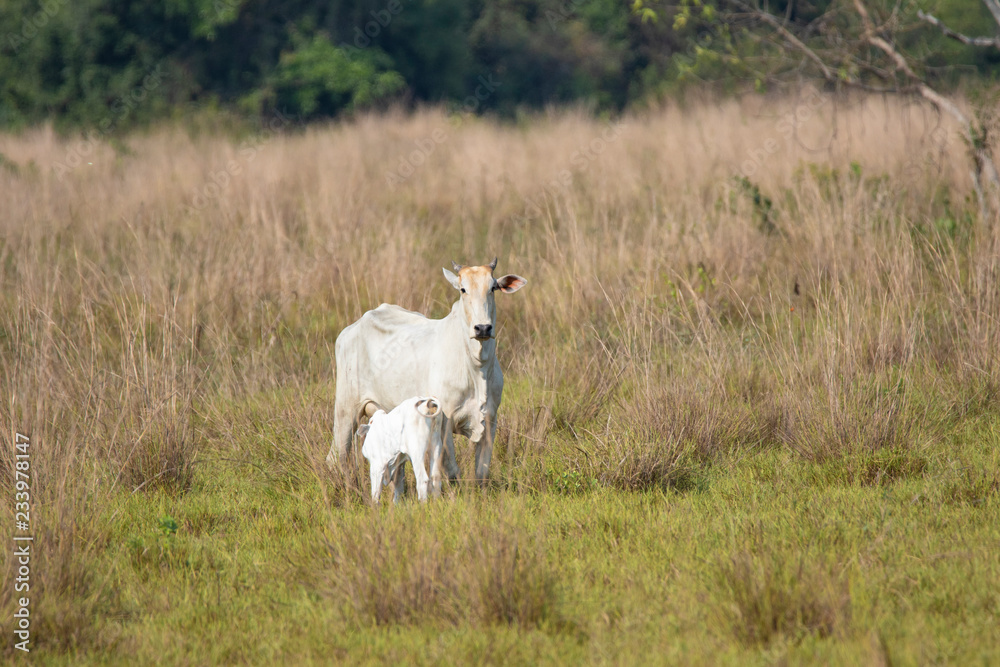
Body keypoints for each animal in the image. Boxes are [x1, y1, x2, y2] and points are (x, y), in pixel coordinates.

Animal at [326, 258, 526, 486]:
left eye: (493, 287)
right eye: (463, 289)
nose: (482, 328)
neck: (477, 367)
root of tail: (353, 327)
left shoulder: (491, 418)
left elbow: (481, 473)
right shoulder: (444, 420)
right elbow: (452, 471)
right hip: (345, 408)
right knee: (337, 455)